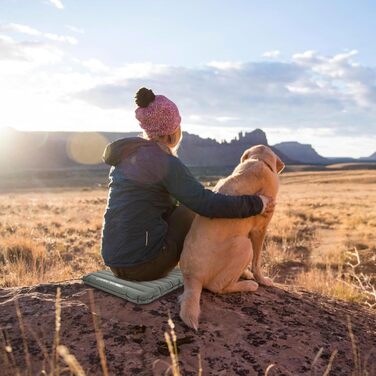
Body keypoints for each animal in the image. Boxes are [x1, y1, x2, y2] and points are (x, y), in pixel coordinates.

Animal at [179, 144, 284, 328]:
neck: (259, 161)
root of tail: (191, 277)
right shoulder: (260, 229)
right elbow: (257, 261)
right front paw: (263, 279)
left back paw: (244, 275)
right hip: (244, 245)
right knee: (217, 287)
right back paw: (249, 284)